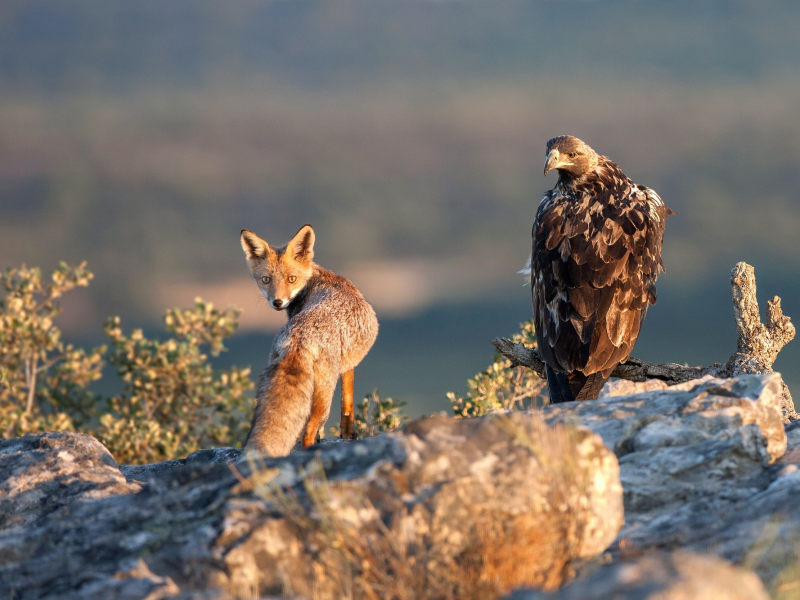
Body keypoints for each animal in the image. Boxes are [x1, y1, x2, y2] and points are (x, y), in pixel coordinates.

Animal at [239, 225, 380, 454]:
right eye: (266, 279)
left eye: (291, 279)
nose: (277, 302)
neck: (315, 279)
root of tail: (298, 339)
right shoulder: (348, 366)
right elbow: (347, 403)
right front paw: (348, 435)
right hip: (324, 396)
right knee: (309, 430)